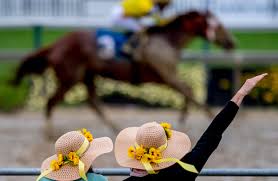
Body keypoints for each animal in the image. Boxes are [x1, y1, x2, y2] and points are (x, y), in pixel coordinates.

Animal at [12, 10, 235, 136]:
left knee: (94, 103)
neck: (166, 40)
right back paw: (49, 133)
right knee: (51, 102)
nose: (231, 42)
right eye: (218, 24)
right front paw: (207, 116)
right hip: (69, 78)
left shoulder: (164, 77)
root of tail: (56, 44)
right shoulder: (165, 75)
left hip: (87, 76)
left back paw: (116, 127)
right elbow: (189, 91)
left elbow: (187, 91)